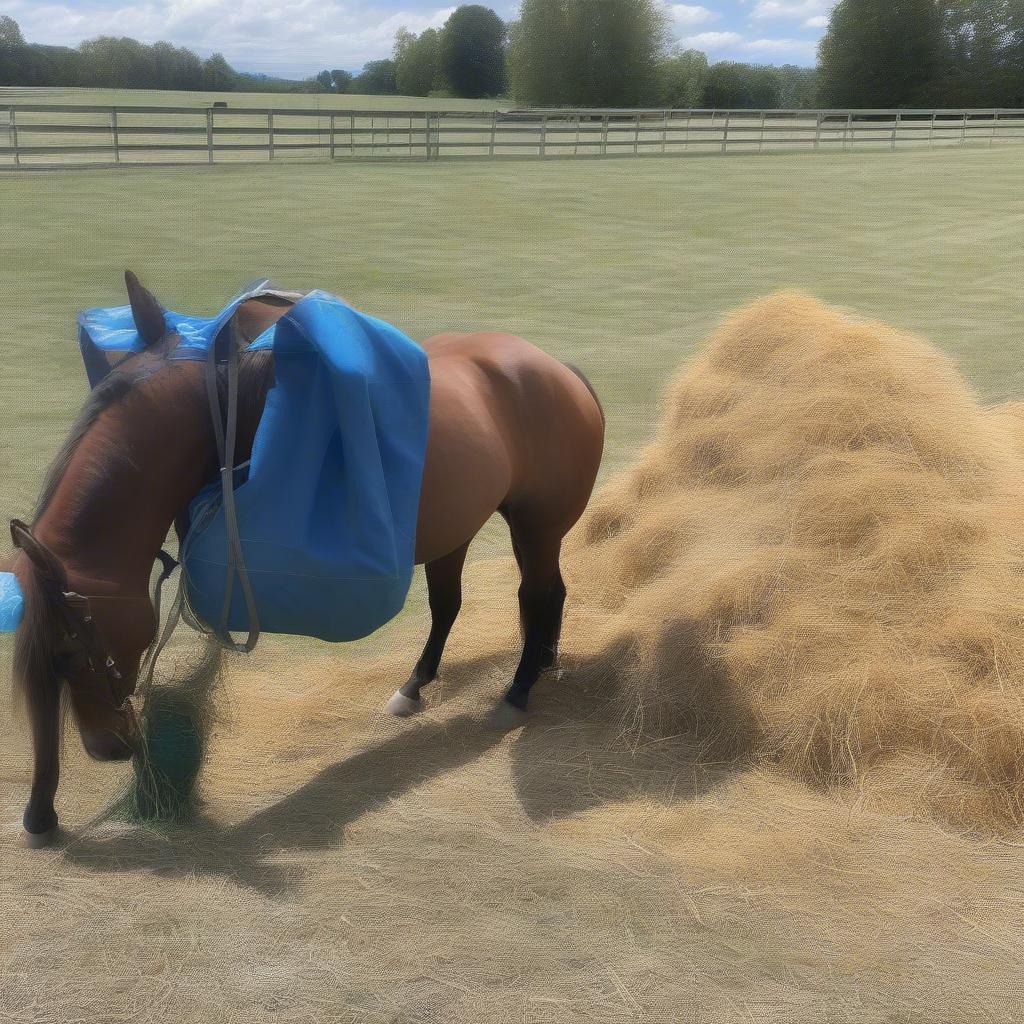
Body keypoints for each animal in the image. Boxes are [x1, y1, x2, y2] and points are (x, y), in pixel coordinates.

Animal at [4, 274, 602, 847]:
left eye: (73, 654)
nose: (107, 746)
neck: (223, 408)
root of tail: (561, 370)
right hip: (466, 523)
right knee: (474, 600)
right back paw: (439, 681)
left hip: (537, 524)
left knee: (537, 594)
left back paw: (518, 691)